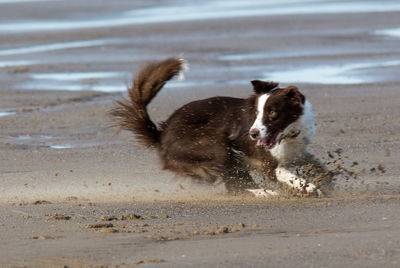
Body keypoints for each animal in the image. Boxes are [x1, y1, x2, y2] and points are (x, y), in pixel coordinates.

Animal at [110, 57, 324, 197]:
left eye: (272, 113)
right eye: (256, 114)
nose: (253, 134)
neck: (288, 134)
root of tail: (161, 134)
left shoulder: (297, 152)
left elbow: (316, 162)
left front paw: (326, 178)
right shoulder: (268, 164)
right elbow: (285, 174)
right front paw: (310, 188)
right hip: (216, 144)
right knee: (233, 186)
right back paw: (264, 193)